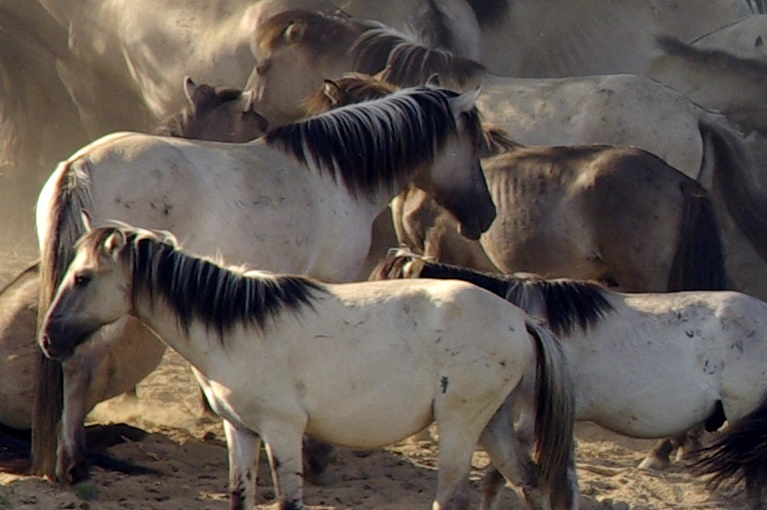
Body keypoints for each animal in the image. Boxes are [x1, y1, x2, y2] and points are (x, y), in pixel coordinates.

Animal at [32, 86, 496, 481]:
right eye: (474, 144)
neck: (333, 178)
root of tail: (79, 167)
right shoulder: (333, 281)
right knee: (79, 365)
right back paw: (73, 462)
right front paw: (317, 455)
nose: (487, 215)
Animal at [39, 223, 577, 510]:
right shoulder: (241, 431)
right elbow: (240, 496)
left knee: (453, 496)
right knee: (530, 483)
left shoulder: (282, 431)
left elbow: (289, 500)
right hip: (493, 423)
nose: (48, 338)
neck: (239, 329)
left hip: (460, 424)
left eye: (83, 278)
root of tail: (521, 319)